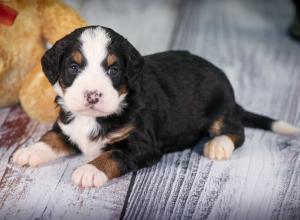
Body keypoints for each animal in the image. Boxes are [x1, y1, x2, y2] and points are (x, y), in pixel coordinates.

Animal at [12, 25, 300, 187]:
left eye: (113, 70)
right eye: (73, 67)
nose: (92, 95)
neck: (94, 116)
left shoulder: (141, 143)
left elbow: (113, 155)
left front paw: (89, 170)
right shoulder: (67, 125)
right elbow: (51, 137)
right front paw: (29, 151)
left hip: (220, 109)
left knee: (237, 132)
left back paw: (218, 145)